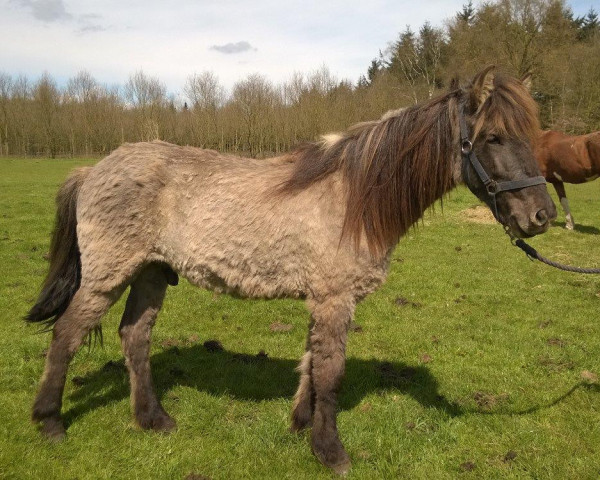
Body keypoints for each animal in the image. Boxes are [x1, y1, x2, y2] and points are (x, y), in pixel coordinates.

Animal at [27, 66, 552, 472]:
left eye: (533, 136)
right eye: (492, 138)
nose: (541, 215)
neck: (354, 198)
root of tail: (93, 170)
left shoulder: (321, 298)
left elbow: (311, 363)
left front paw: (301, 424)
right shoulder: (335, 298)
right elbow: (332, 371)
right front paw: (331, 450)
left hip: (151, 272)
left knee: (135, 336)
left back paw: (152, 419)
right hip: (107, 275)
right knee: (67, 335)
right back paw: (50, 421)